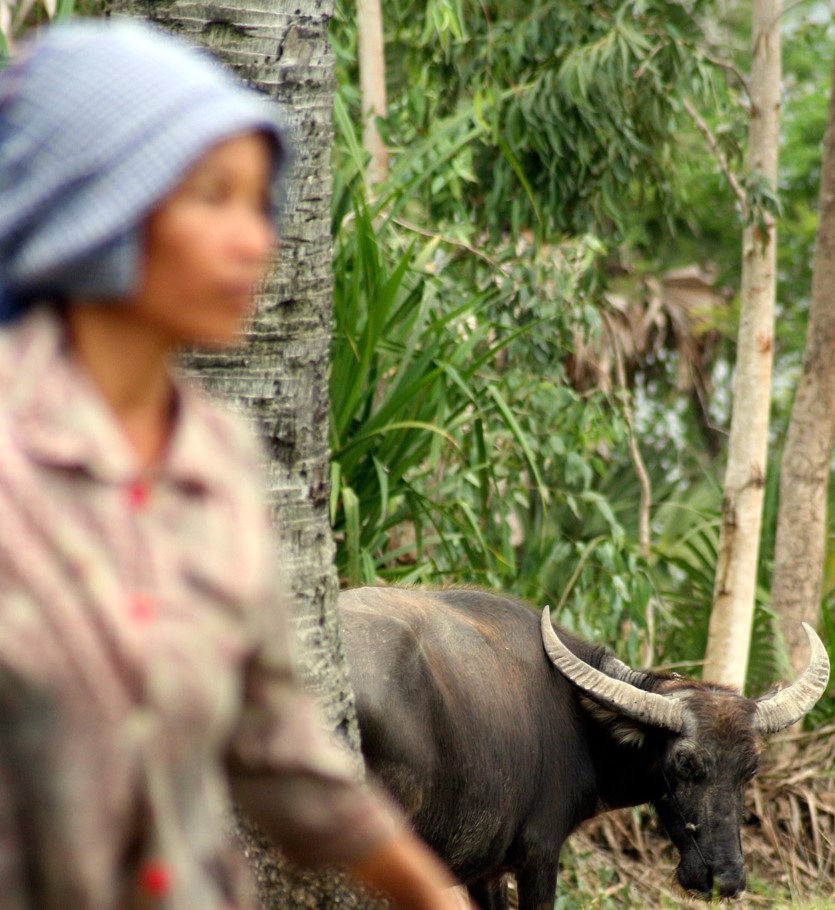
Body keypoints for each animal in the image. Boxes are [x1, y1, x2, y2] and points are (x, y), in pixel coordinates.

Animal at [339, 587, 830, 910]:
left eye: (751, 769)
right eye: (686, 763)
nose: (725, 879)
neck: (581, 722)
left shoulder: (486, 871)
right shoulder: (538, 855)